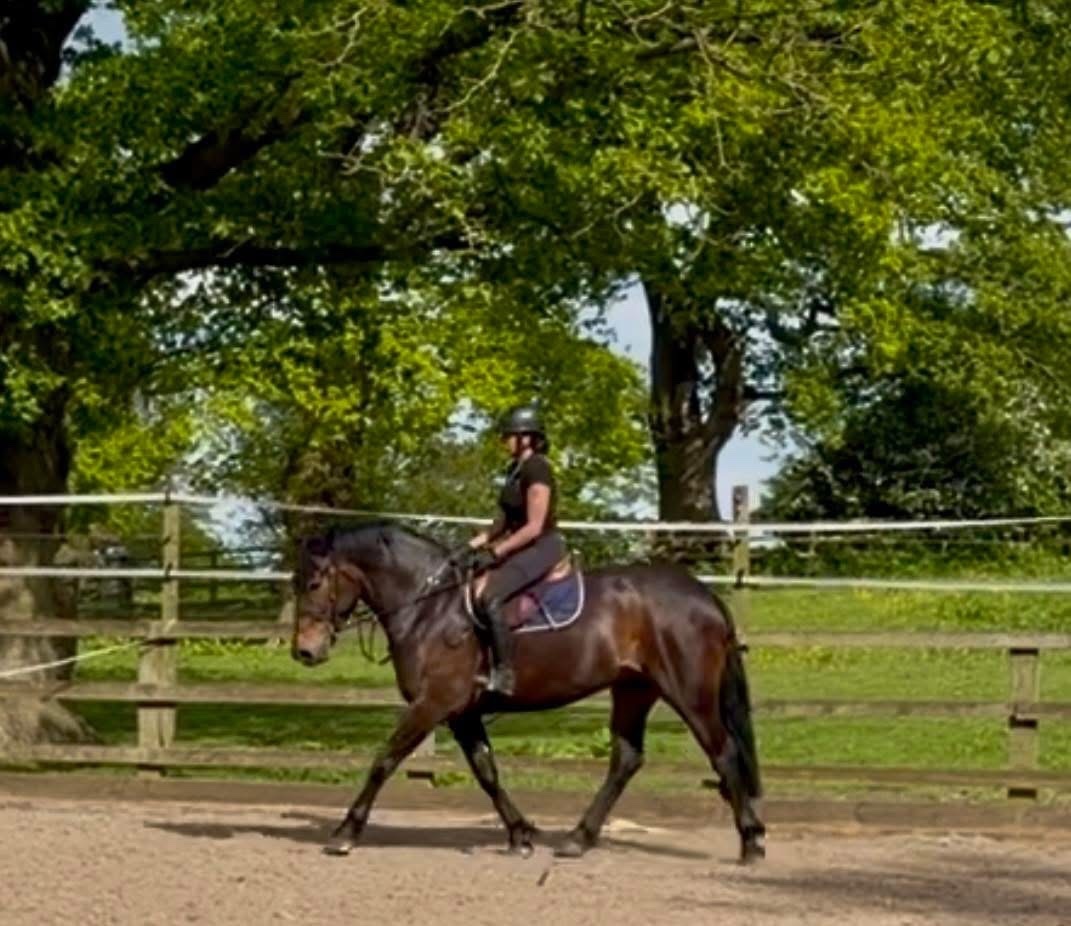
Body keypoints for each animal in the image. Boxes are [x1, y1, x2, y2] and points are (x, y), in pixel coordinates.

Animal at [291, 522, 765, 862]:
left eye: (313, 584)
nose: (304, 651)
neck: (431, 608)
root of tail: (702, 594)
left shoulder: (433, 704)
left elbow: (384, 761)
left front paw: (345, 833)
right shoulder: (461, 713)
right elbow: (486, 771)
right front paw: (520, 835)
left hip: (689, 694)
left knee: (723, 754)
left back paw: (751, 843)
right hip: (634, 690)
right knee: (627, 759)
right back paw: (578, 838)